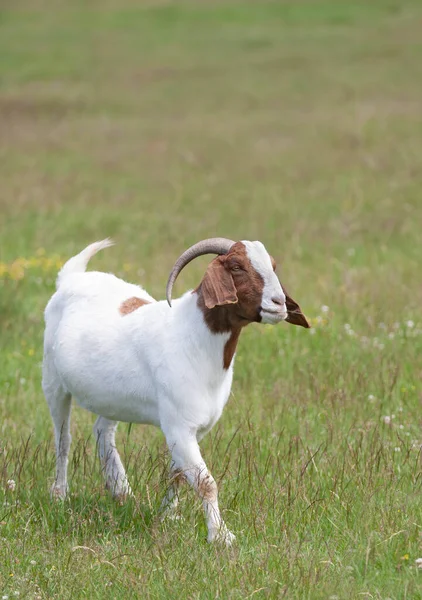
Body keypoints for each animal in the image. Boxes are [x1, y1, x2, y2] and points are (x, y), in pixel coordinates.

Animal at [42, 238, 310, 544]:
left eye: (273, 266)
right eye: (236, 266)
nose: (279, 303)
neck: (192, 336)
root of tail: (70, 277)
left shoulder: (194, 430)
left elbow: (178, 474)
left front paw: (168, 516)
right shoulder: (179, 427)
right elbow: (206, 483)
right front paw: (221, 536)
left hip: (112, 398)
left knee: (102, 431)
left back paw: (121, 492)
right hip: (53, 380)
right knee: (63, 439)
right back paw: (60, 495)